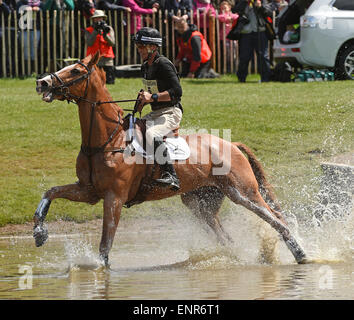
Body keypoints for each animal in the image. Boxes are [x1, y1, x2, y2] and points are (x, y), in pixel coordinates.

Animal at [34, 53, 308, 264]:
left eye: (75, 70)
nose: (42, 82)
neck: (107, 140)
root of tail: (232, 145)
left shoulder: (114, 198)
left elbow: (105, 246)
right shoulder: (89, 191)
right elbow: (50, 192)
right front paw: (39, 232)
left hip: (243, 193)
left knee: (276, 219)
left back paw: (301, 254)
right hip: (200, 202)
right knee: (226, 236)